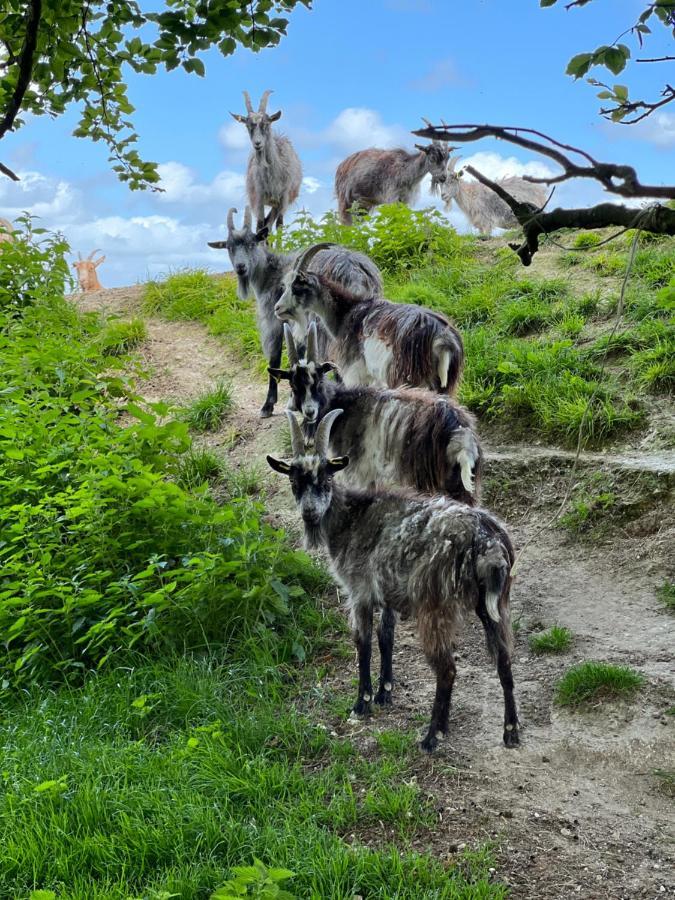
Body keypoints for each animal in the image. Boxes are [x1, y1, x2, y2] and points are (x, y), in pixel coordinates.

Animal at [207, 210, 386, 418]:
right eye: (229, 247)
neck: (270, 274)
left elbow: (275, 357)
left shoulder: (276, 323)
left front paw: (269, 405)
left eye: (252, 243)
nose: (241, 267)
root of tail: (354, 271)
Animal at [232, 90, 304, 232]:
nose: (257, 143)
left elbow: (279, 225)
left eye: (266, 124)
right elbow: (260, 225)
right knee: (265, 225)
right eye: (248, 126)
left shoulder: (283, 198)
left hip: (277, 203)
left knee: (270, 225)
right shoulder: (259, 197)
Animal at [266, 408, 520, 752]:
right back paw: (511, 731)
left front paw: (362, 702)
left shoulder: (359, 592)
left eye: (326, 478)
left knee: (447, 669)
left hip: (435, 606)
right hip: (494, 604)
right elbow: (386, 636)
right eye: (294, 480)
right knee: (504, 660)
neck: (351, 517)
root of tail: (487, 541)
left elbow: (363, 642)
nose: (309, 513)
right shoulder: (387, 593)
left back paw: (432, 736)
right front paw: (385, 692)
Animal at [270, 322, 480, 506]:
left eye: (318, 381)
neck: (342, 405)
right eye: (293, 385)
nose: (310, 411)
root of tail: (463, 439)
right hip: (460, 483)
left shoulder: (359, 472)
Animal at [274, 243, 464, 394]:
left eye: (296, 287)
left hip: (407, 378)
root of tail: (443, 340)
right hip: (444, 384)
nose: (278, 308)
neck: (346, 312)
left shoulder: (354, 373)